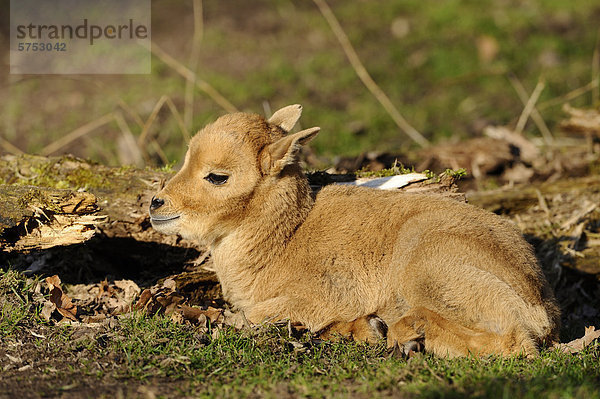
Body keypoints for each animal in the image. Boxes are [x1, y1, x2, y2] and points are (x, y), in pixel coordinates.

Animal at [148, 104, 560, 358]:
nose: (156, 204)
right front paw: (361, 329)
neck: (285, 239)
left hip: (434, 272)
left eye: (218, 176)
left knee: (513, 343)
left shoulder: (324, 293)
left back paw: (409, 333)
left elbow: (255, 317)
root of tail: (541, 305)